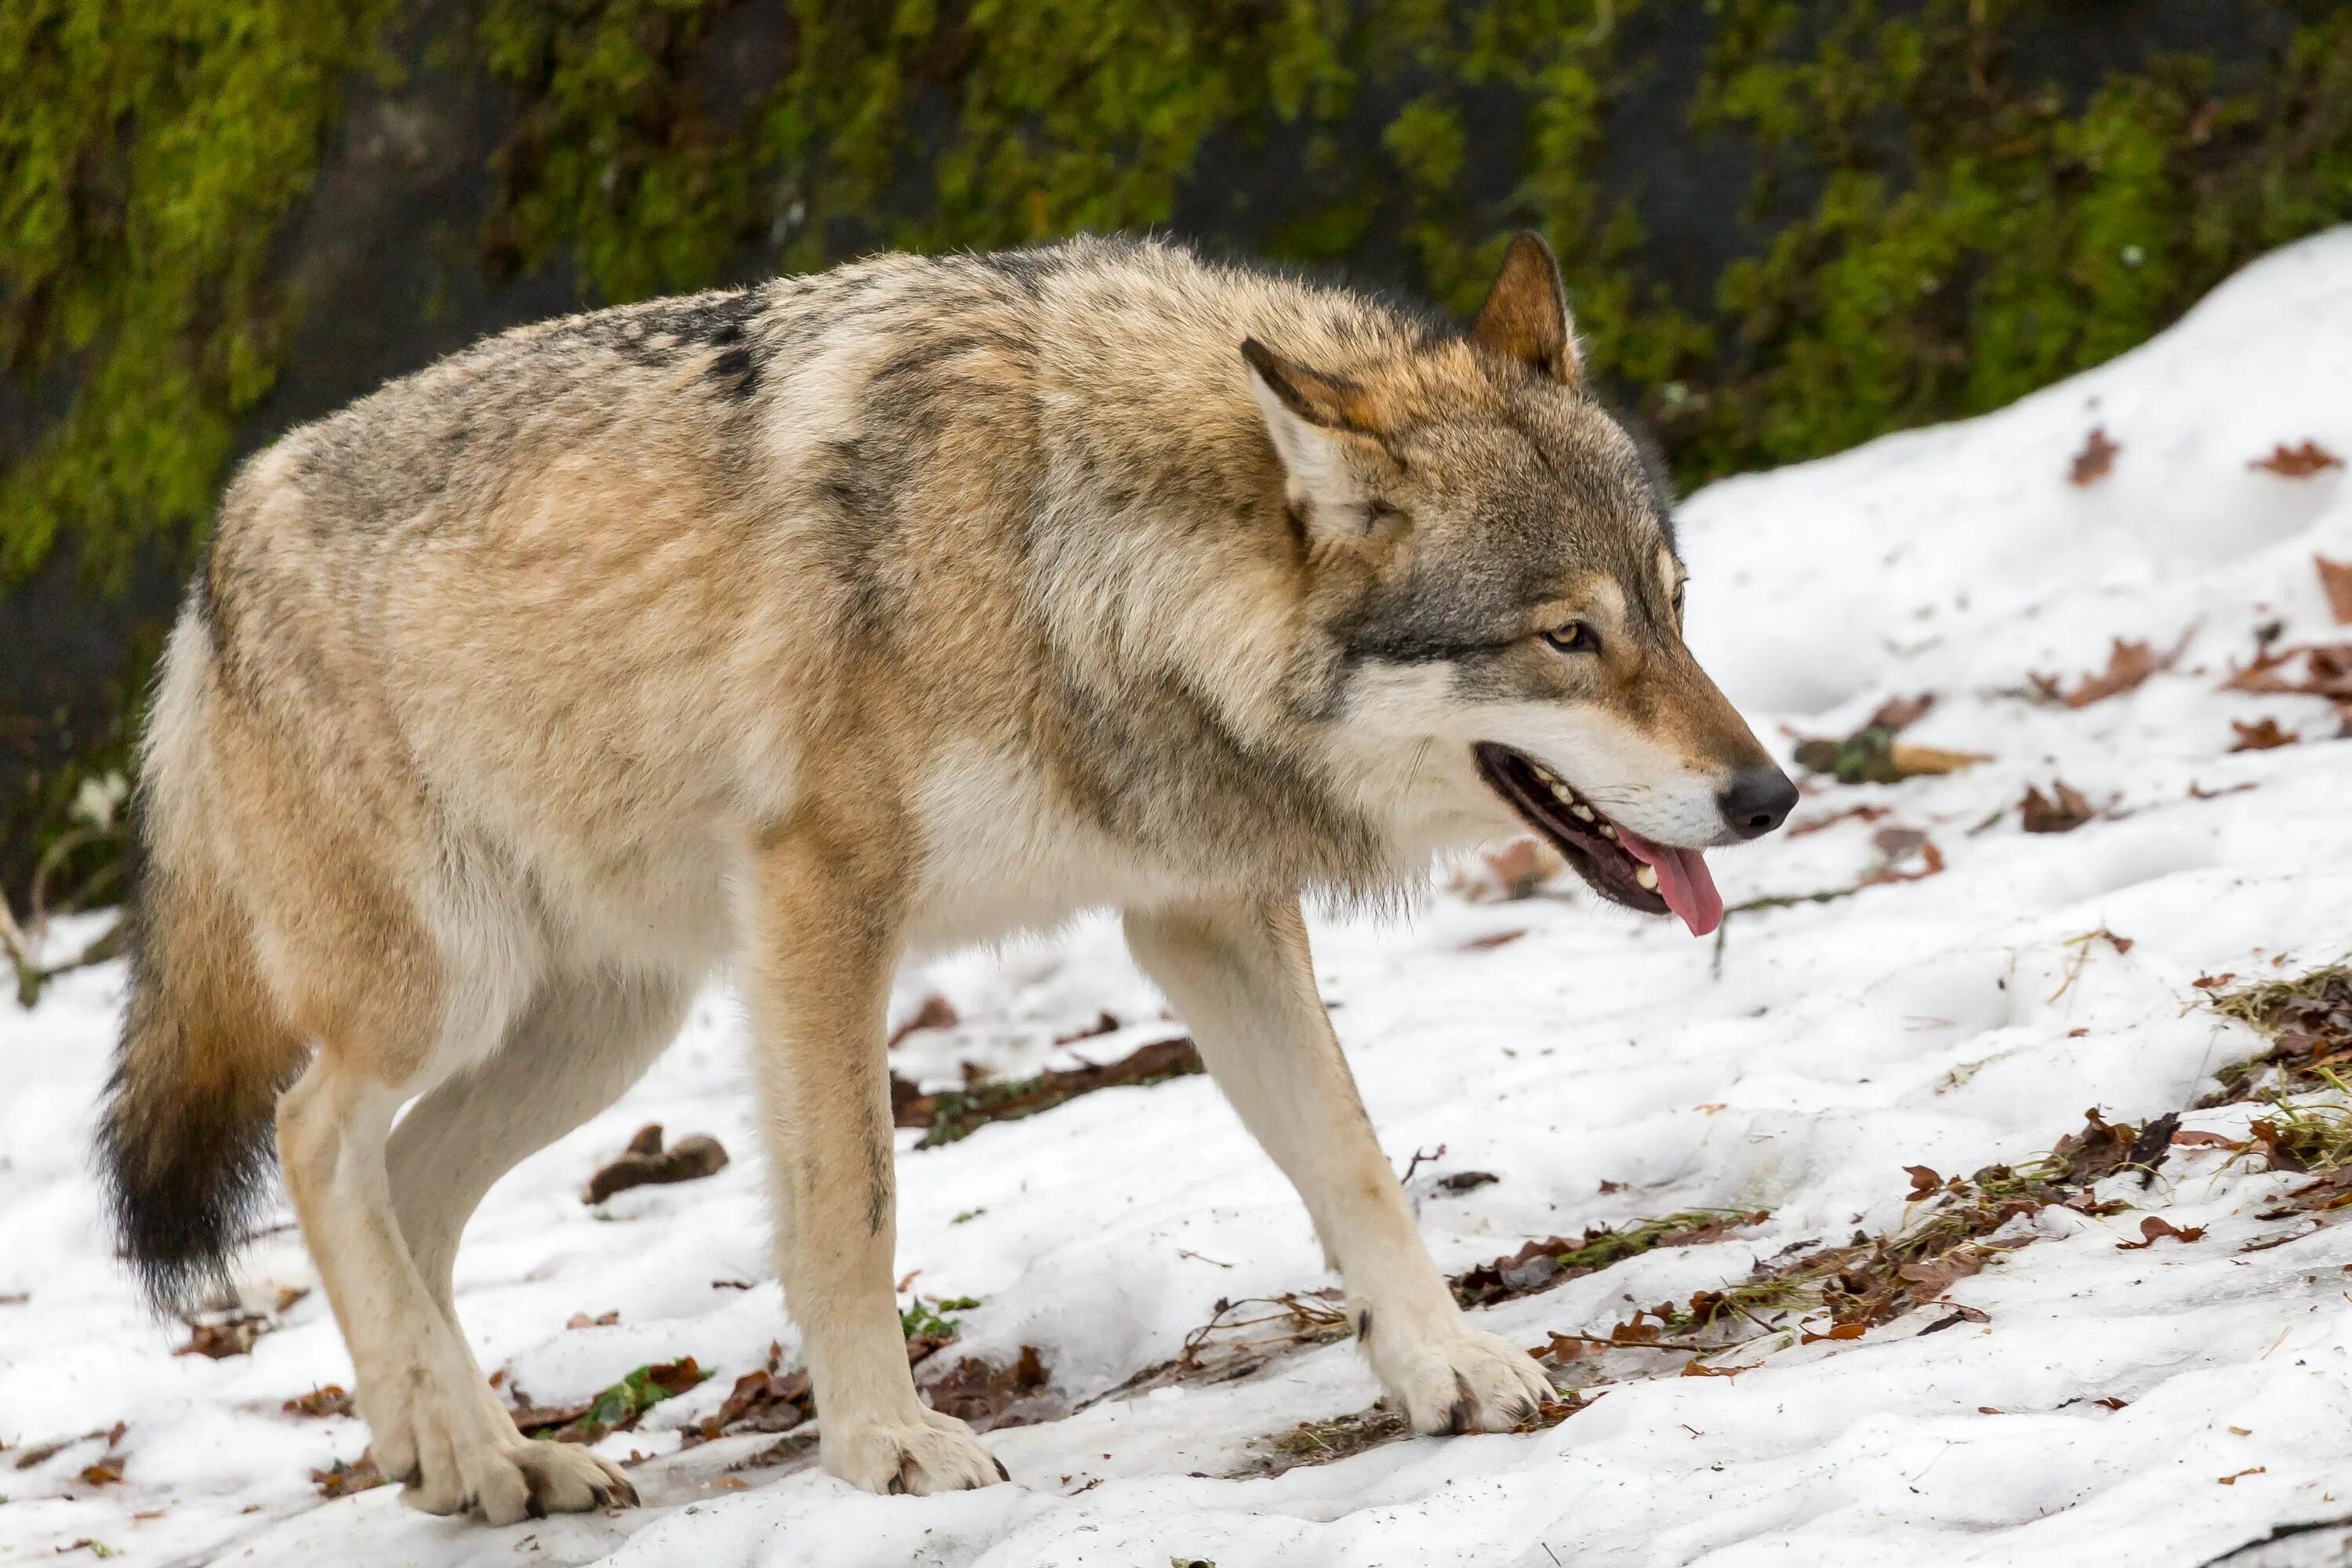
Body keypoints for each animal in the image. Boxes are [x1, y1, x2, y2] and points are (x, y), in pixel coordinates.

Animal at [87, 232, 1778, 1523]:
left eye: (1676, 608)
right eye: (1568, 637)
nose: (1766, 796)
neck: (1065, 550)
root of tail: (215, 546)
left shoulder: (1203, 910)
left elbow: (1352, 1156)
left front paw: (1445, 1365)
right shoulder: (825, 899)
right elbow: (855, 1196)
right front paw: (884, 1446)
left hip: (601, 1030)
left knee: (412, 1186)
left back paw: (473, 1449)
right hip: (453, 990)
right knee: (316, 1138)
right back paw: (455, 1445)